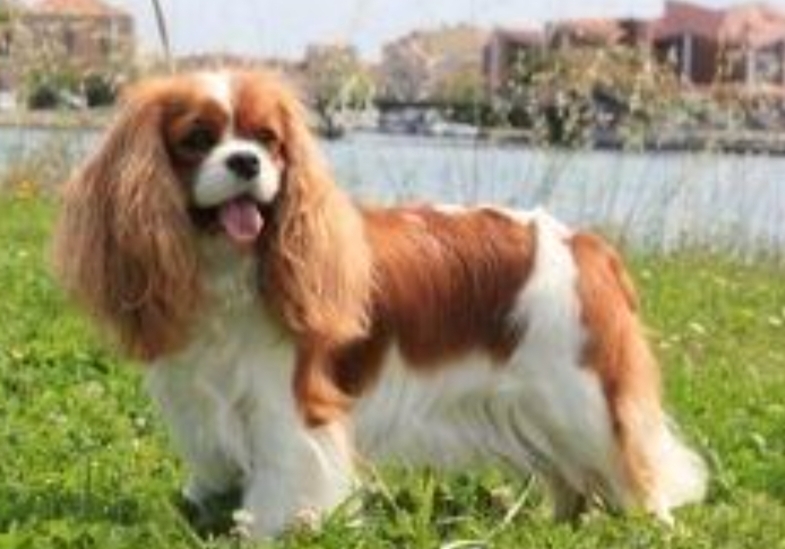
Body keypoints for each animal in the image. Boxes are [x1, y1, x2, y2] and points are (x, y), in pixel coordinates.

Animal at [54, 69, 707, 537]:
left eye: (269, 141)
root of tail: (587, 245)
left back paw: (653, 525)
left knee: (637, 470)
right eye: (196, 140)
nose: (246, 161)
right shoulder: (199, 403)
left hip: (581, 401)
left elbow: (277, 486)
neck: (228, 271)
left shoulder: (288, 409)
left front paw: (258, 532)